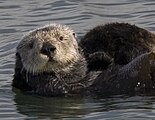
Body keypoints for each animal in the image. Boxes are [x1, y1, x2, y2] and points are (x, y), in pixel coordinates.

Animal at [12, 23, 155, 96]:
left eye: (61, 38)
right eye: (31, 45)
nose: (47, 48)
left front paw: (100, 57)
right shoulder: (50, 87)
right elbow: (58, 87)